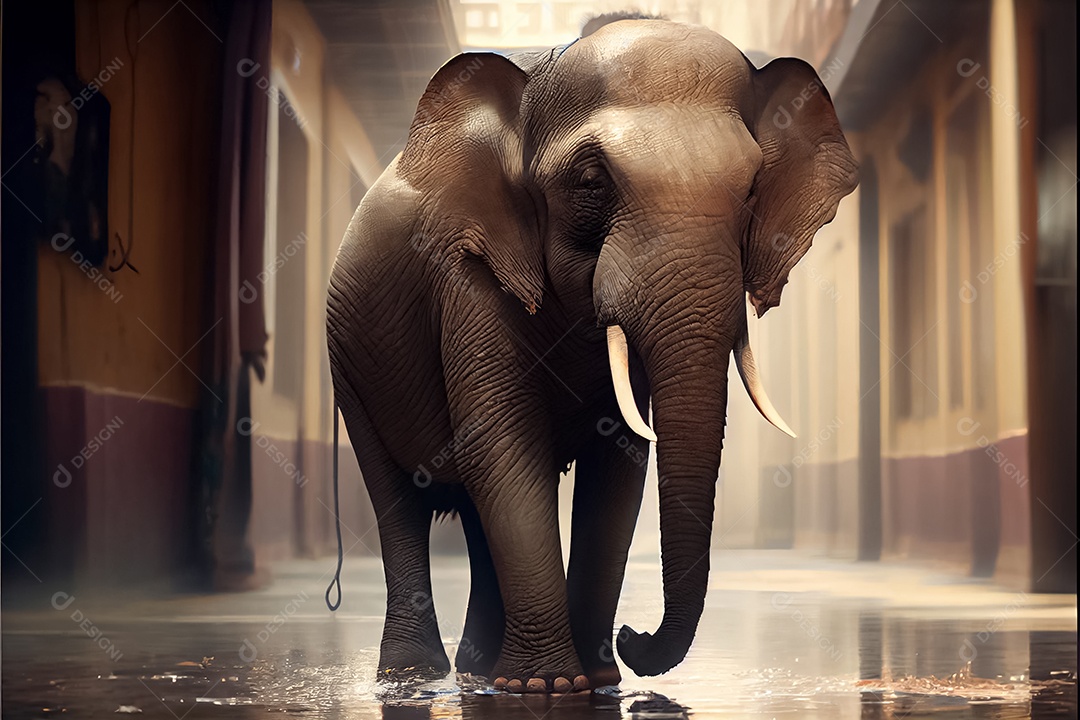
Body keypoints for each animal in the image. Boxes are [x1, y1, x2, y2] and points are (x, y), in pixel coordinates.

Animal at [326, 18, 857, 694]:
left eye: (751, 190)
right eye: (591, 182)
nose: (633, 637)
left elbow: (619, 461)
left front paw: (597, 680)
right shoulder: (472, 271)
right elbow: (504, 442)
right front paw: (548, 687)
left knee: (472, 505)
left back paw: (478, 671)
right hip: (347, 362)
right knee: (396, 498)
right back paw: (414, 675)